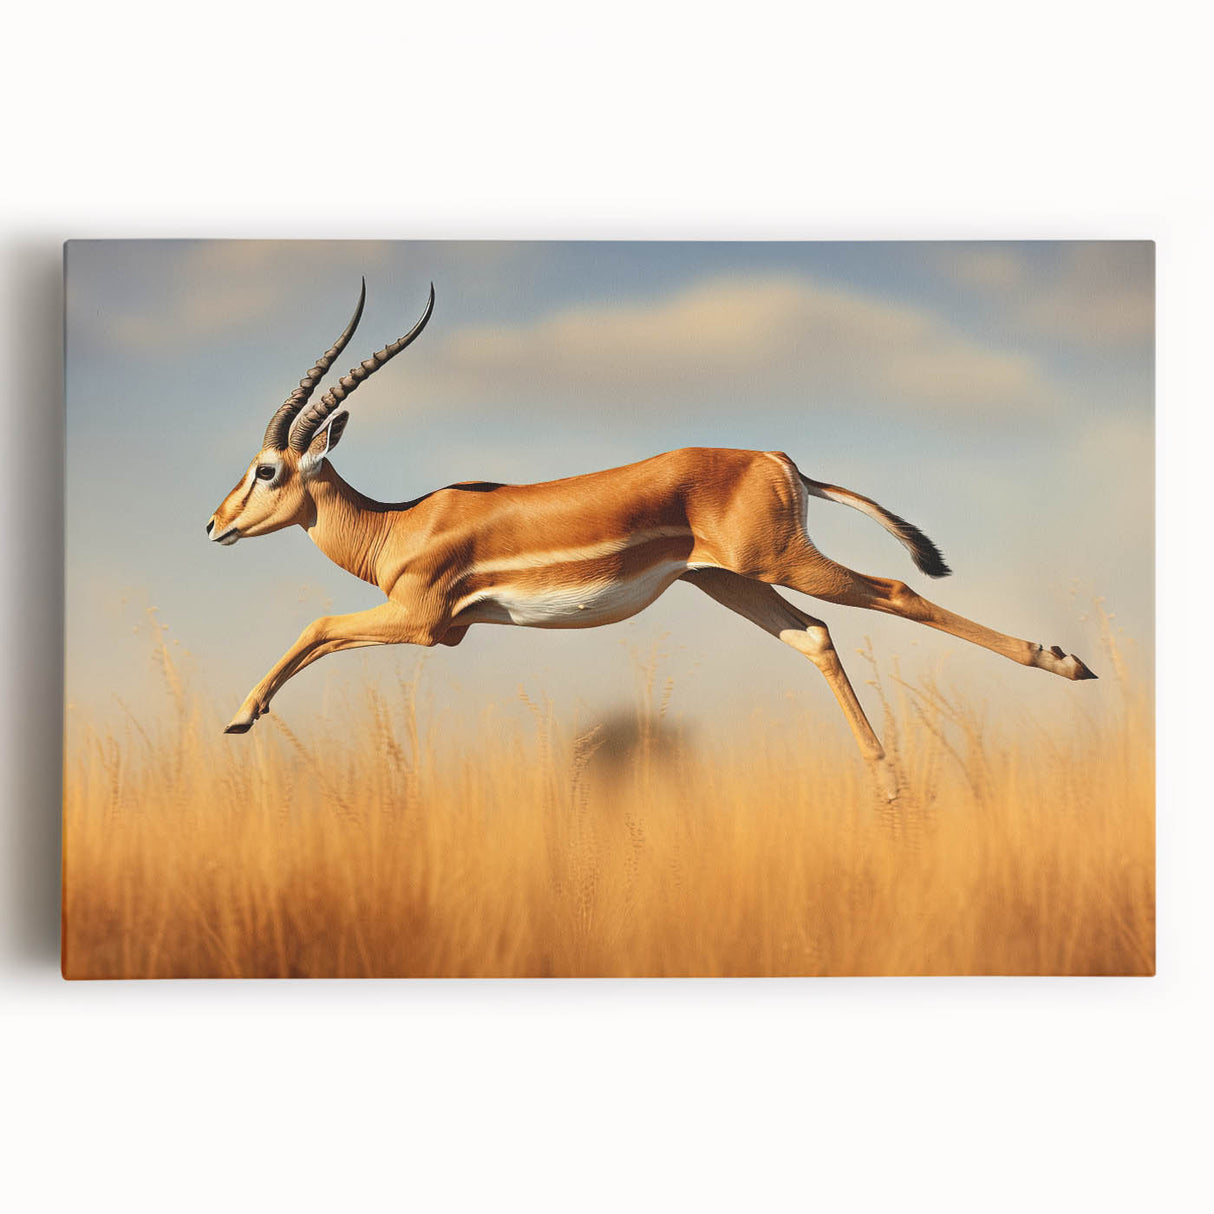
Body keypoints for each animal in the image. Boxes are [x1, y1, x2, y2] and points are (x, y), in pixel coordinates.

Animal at [207, 281, 1097, 799]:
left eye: (266, 469)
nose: (214, 524)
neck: (398, 523)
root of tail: (778, 458)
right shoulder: (438, 629)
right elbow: (323, 634)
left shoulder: (426, 624)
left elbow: (318, 625)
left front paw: (240, 718)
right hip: (728, 581)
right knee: (815, 636)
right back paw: (889, 785)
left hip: (780, 563)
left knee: (899, 592)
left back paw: (1065, 662)